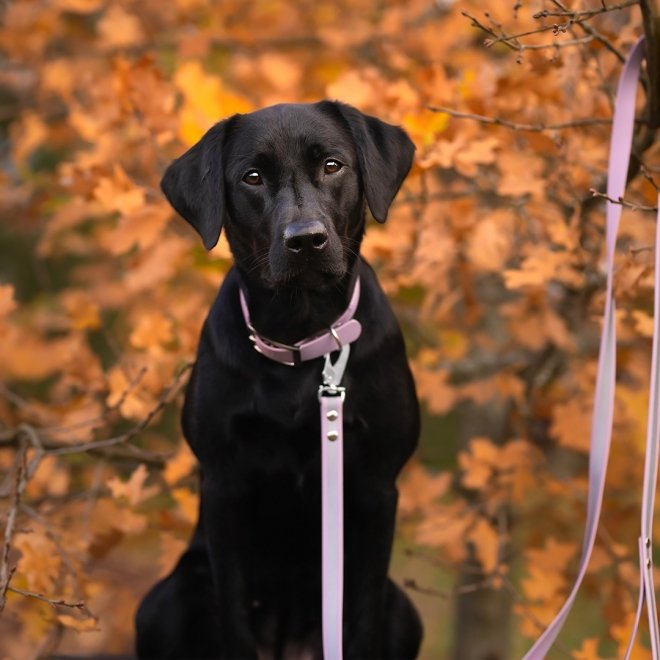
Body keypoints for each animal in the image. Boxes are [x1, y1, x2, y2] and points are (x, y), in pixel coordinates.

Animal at [136, 100, 422, 656]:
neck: (300, 333)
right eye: (252, 177)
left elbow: (363, 620)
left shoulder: (377, 488)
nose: (306, 241)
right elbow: (234, 619)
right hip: (163, 601)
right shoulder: (223, 484)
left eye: (332, 165)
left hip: (406, 612)